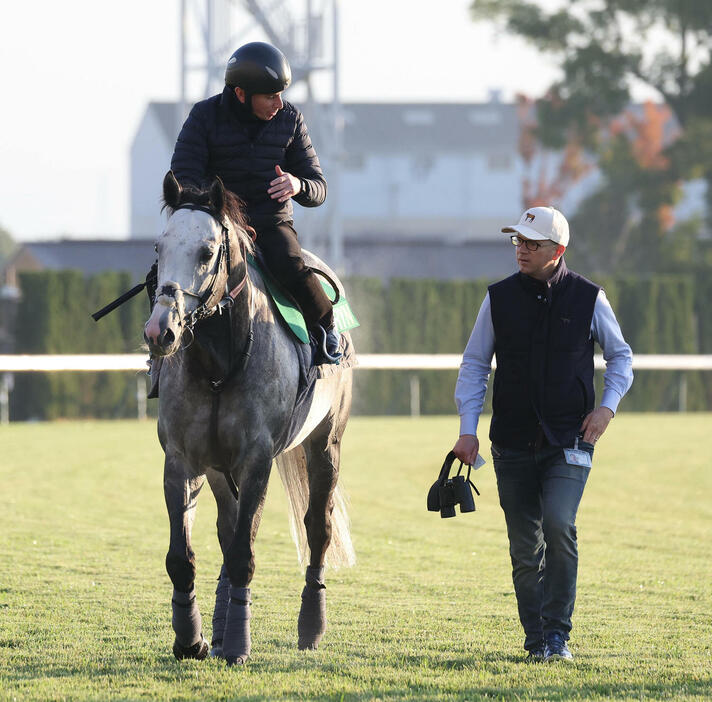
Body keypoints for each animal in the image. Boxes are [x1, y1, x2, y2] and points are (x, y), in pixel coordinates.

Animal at [143, 173, 354, 668]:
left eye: (206, 252)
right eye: (160, 247)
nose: (160, 331)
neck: (220, 363)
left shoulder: (257, 461)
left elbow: (244, 553)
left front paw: (238, 644)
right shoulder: (182, 461)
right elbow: (183, 557)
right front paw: (192, 639)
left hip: (325, 443)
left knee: (317, 528)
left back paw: (310, 626)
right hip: (220, 469)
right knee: (227, 526)